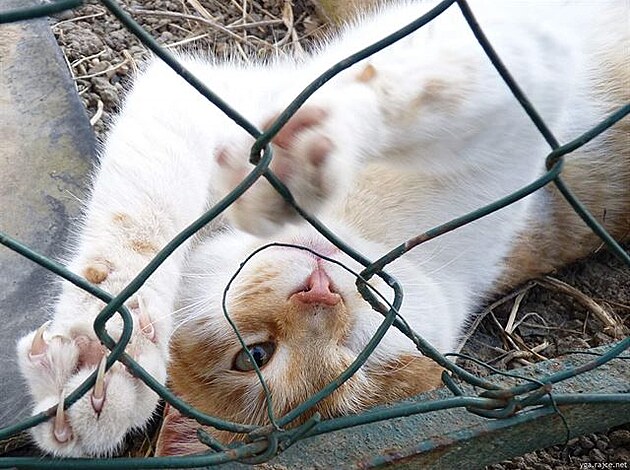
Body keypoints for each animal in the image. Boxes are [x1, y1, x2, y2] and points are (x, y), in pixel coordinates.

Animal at [16, 0, 630, 458]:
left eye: (352, 349)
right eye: (254, 357)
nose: (322, 291)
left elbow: (438, 78)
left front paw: (321, 137)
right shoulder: (192, 100)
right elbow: (139, 221)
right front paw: (104, 362)